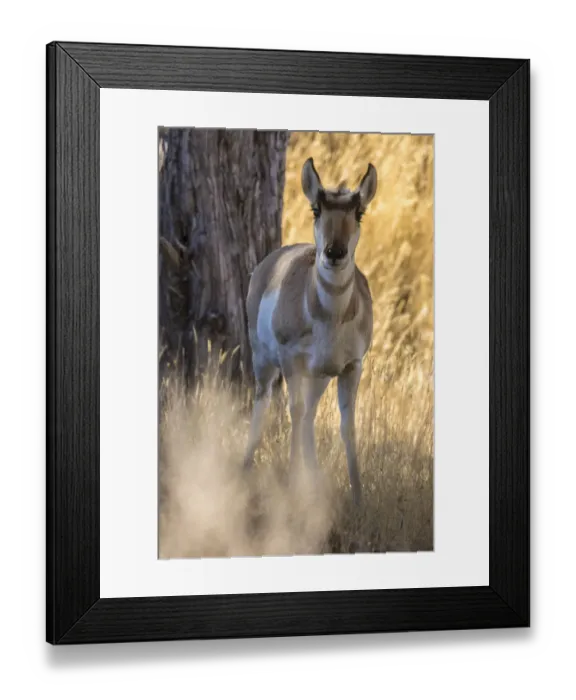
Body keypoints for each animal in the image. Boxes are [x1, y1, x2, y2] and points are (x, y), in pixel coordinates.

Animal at [243, 157, 377, 505]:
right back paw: (244, 468)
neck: (329, 317)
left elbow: (347, 425)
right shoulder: (292, 361)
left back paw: (314, 483)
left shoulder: (351, 366)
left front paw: (358, 498)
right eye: (316, 209)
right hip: (265, 361)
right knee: (265, 403)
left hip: (320, 376)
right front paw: (291, 486)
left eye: (359, 212)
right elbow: (294, 410)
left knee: (308, 418)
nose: (334, 252)